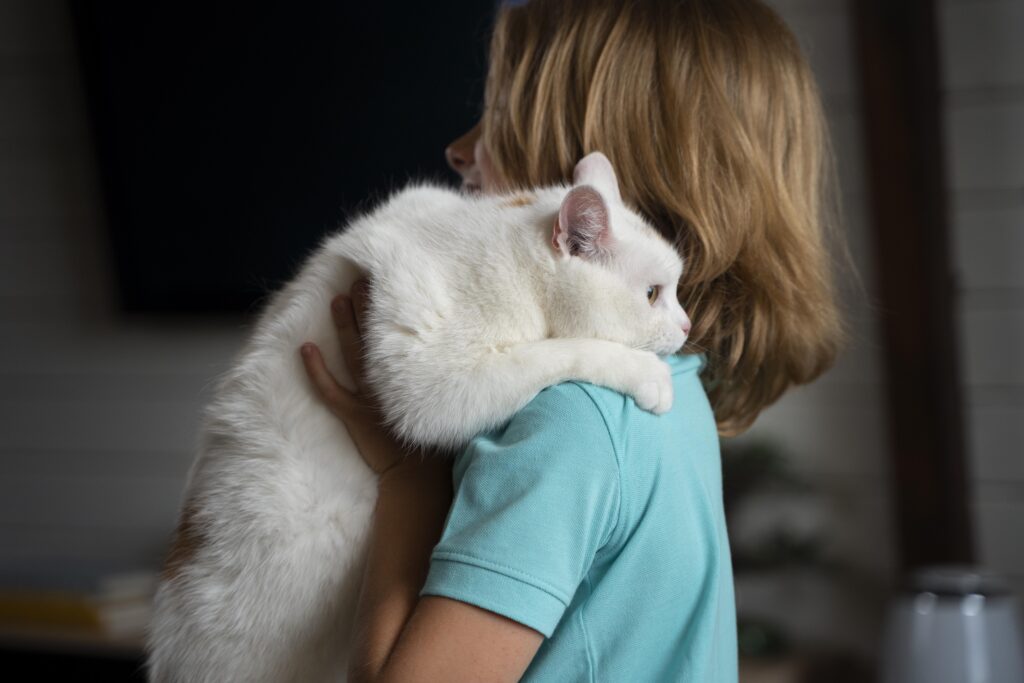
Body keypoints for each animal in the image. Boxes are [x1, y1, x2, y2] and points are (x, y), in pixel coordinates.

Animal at [146, 152, 688, 679]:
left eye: (677, 290)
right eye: (653, 294)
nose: (686, 326)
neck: (511, 249)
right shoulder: (432, 382)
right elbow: (560, 351)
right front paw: (646, 373)